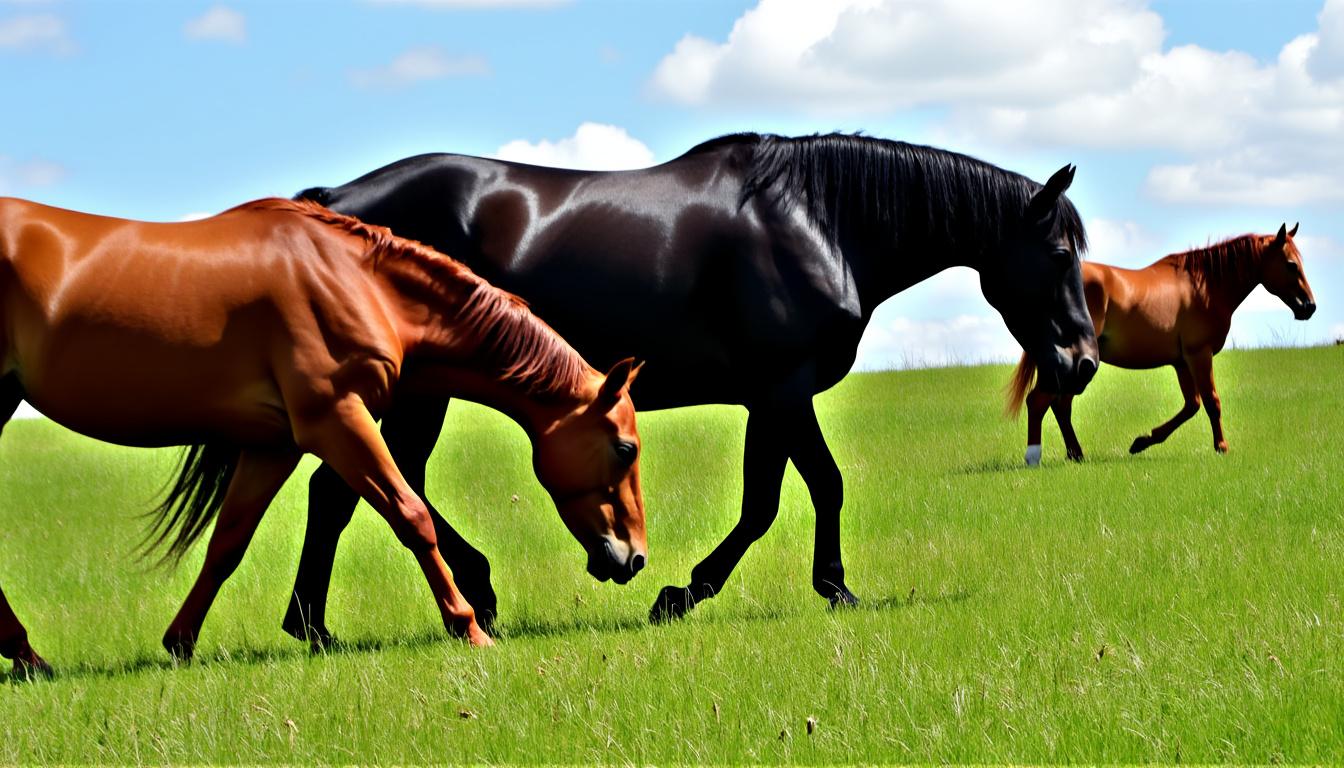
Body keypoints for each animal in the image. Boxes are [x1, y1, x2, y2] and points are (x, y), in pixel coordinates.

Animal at [0, 196, 646, 677]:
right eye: (626, 448)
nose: (634, 556)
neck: (358, 282)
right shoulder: (337, 419)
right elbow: (412, 516)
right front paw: (467, 627)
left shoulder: (275, 444)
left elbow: (228, 542)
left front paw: (181, 642)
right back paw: (24, 653)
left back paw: (28, 656)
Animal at [285, 131, 1099, 640]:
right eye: (1061, 253)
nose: (1084, 361)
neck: (816, 223)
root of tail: (335, 202)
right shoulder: (784, 391)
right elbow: (796, 495)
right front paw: (697, 594)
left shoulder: (771, 399)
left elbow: (782, 496)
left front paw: (814, 587)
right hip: (421, 391)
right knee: (361, 488)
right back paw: (399, 607)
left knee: (357, 487)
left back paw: (321, 622)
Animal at [1006, 224, 1316, 465]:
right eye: (1291, 264)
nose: (1309, 306)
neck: (1202, 287)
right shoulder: (1199, 355)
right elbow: (1212, 402)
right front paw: (1221, 447)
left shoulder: (1181, 362)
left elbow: (1192, 405)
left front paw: (1143, 441)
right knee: (1040, 401)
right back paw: (1036, 456)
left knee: (1060, 405)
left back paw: (1076, 454)